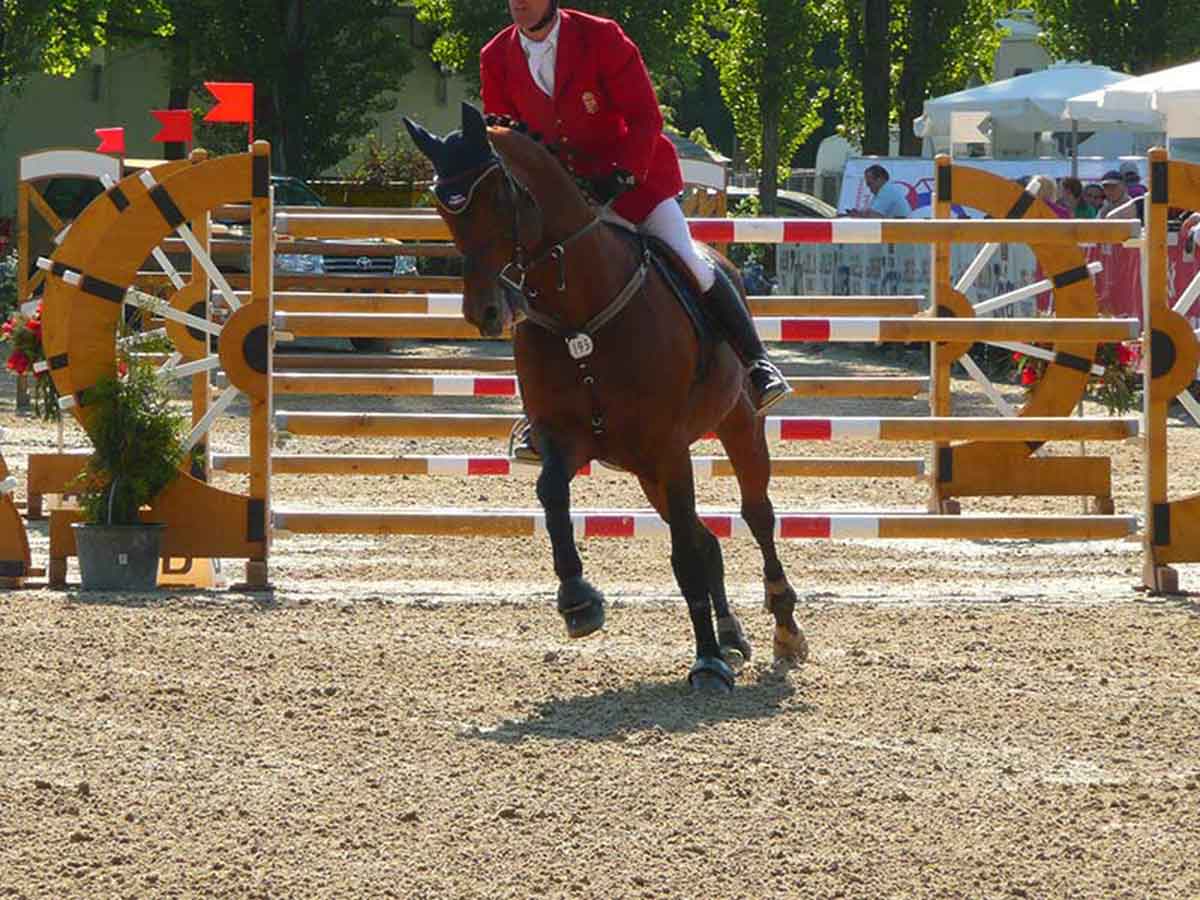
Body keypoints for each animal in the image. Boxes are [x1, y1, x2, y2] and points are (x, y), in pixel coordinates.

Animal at [403, 103, 806, 696]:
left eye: (498, 196)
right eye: (439, 205)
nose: (486, 312)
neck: (579, 312)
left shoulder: (666, 447)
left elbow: (685, 554)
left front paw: (706, 661)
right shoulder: (567, 438)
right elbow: (552, 495)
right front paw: (577, 600)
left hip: (735, 429)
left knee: (756, 516)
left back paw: (783, 627)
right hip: (645, 470)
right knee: (704, 535)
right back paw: (731, 633)